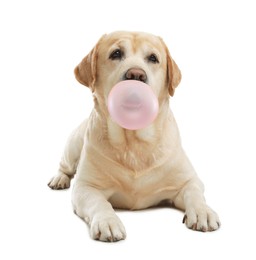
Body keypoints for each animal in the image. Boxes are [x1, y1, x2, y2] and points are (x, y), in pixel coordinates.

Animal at [48, 30, 220, 242]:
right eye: (116, 53)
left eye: (153, 58)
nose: (136, 75)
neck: (133, 143)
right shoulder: (85, 187)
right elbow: (99, 203)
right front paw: (108, 222)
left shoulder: (188, 180)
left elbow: (194, 193)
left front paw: (203, 212)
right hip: (72, 145)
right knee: (64, 167)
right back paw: (59, 179)